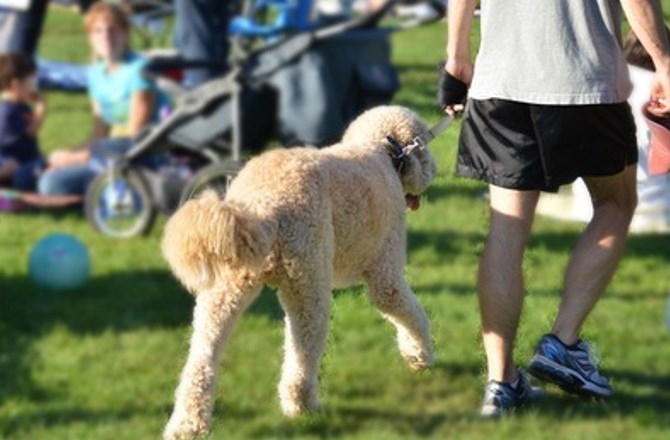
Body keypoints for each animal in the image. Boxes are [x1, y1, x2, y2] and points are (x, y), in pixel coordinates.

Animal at [161, 106, 438, 440]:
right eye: (426, 148)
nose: (434, 170)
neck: (383, 150)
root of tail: (262, 206)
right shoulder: (386, 275)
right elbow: (410, 313)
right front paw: (420, 355)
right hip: (309, 284)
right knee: (303, 351)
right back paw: (302, 406)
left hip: (223, 291)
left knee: (201, 359)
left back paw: (187, 425)